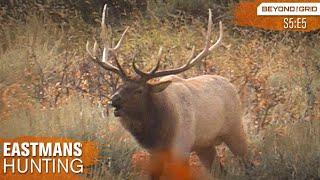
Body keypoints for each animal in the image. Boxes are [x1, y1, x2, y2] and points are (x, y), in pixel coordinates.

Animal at [86, 4, 249, 179]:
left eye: (139, 91)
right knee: (220, 171)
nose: (114, 99)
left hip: (235, 130)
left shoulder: (182, 147)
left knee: (248, 163)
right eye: (120, 86)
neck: (160, 133)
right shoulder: (154, 153)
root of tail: (232, 86)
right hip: (204, 145)